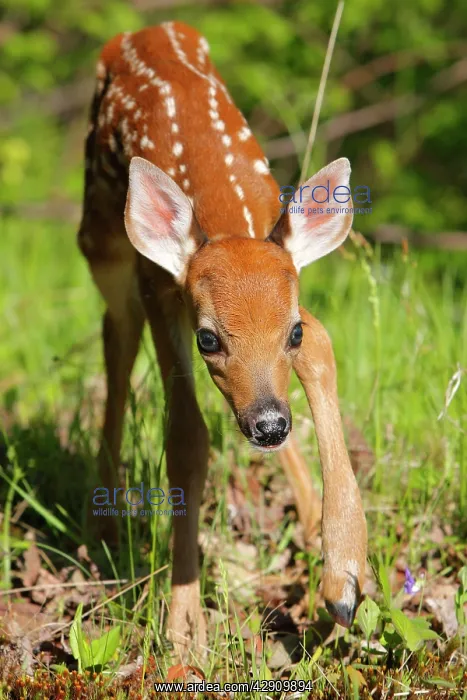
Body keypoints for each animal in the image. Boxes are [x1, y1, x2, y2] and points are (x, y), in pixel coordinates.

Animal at [78, 21, 367, 656]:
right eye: (208, 339)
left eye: (291, 331)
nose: (268, 424)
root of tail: (145, 29)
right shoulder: (159, 288)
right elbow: (187, 439)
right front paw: (185, 627)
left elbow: (324, 350)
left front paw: (344, 575)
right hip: (100, 239)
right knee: (116, 333)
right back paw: (103, 519)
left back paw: (306, 514)